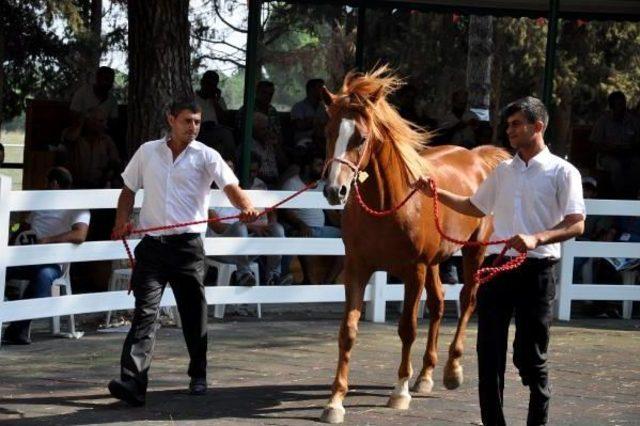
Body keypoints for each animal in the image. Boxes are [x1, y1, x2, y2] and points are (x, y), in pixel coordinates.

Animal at [320, 66, 510, 422]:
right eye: (328, 133)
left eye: (360, 138)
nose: (334, 190)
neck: (387, 204)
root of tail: (479, 157)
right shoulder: (357, 268)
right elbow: (347, 331)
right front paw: (335, 401)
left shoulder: (414, 271)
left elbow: (407, 327)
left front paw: (399, 391)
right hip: (436, 261)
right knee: (438, 304)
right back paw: (425, 375)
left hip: (473, 251)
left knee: (467, 300)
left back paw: (451, 370)